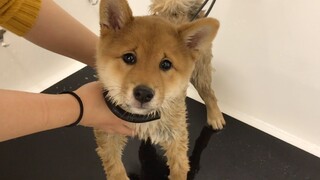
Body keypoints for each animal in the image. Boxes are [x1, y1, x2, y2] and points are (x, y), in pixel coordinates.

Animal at [94, 0, 225, 179]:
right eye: (129, 57)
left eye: (166, 64)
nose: (143, 93)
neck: (142, 118)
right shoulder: (108, 134)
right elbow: (115, 168)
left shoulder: (176, 137)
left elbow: (179, 169)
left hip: (200, 74)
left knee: (209, 94)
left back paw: (215, 117)